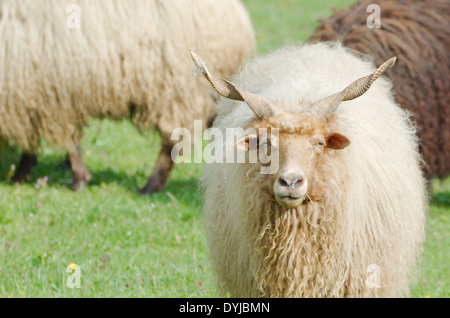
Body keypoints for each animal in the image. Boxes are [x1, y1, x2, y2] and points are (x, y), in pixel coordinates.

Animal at [0, 0, 255, 194]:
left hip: (177, 94)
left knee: (172, 142)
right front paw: (25, 171)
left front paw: (76, 179)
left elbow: (64, 142)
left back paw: (150, 186)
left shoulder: (49, 97)